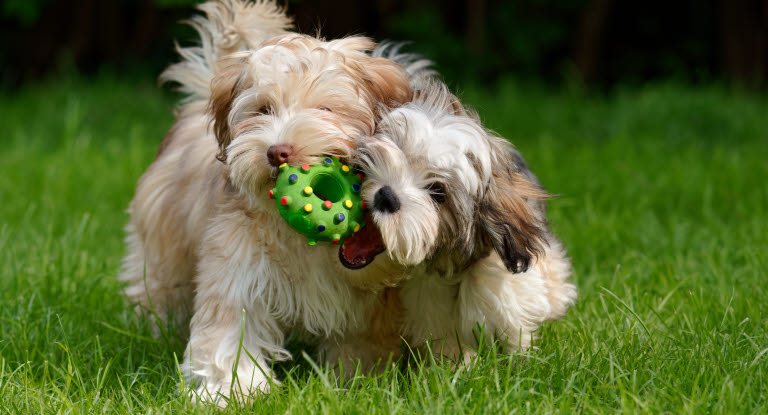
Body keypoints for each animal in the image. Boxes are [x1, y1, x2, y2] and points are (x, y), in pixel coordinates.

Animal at [118, 0, 414, 404]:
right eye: (262, 111)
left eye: (326, 110)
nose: (277, 151)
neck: (303, 237)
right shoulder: (237, 265)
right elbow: (231, 328)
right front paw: (230, 390)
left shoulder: (367, 302)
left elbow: (362, 341)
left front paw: (356, 384)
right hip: (163, 244)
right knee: (158, 287)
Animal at [352, 79, 580, 362]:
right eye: (398, 152)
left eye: (438, 193)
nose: (386, 195)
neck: (450, 266)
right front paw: (460, 366)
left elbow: (515, 331)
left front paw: (522, 360)